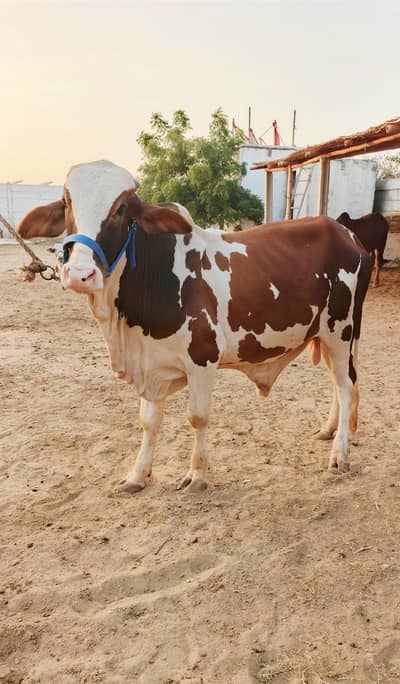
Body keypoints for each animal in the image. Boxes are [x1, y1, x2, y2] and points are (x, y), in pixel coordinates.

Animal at [18, 160, 372, 493]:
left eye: (120, 209)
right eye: (67, 203)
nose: (80, 274)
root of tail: (347, 233)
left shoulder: (202, 358)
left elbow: (198, 417)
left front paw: (197, 475)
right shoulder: (151, 362)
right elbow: (148, 422)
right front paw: (137, 475)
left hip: (341, 331)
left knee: (346, 386)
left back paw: (339, 454)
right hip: (325, 336)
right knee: (339, 385)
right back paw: (329, 431)